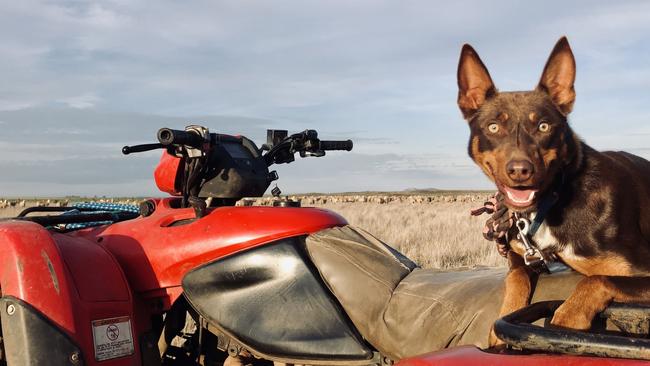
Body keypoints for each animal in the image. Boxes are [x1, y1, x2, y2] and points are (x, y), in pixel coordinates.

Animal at [456, 35, 648, 344]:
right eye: (493, 127)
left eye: (544, 126)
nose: (520, 170)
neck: (556, 198)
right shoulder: (517, 255)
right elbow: (516, 278)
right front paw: (501, 326)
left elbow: (597, 279)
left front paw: (568, 318)